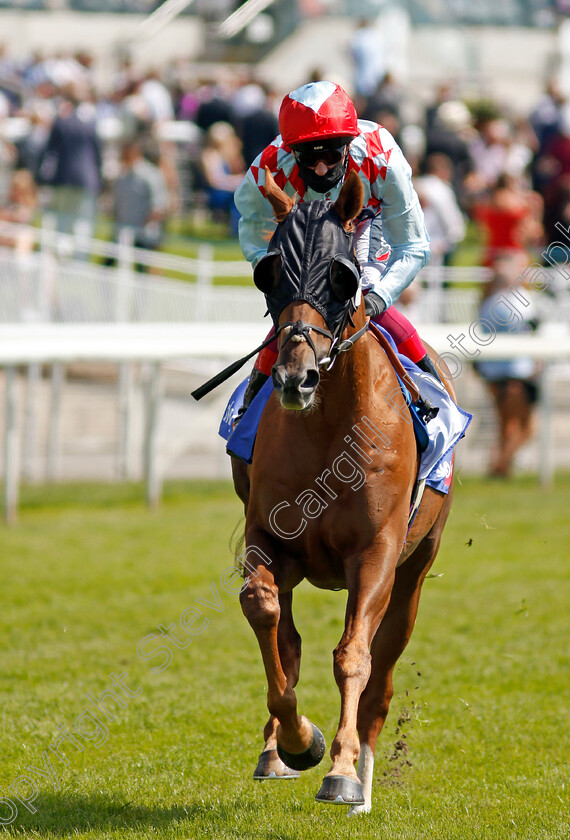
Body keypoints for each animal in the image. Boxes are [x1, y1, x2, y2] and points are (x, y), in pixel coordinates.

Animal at [231, 167, 452, 812]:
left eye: (343, 276)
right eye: (269, 272)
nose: (295, 377)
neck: (329, 428)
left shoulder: (376, 551)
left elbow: (354, 654)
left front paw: (344, 770)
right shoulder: (267, 535)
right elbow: (265, 613)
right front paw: (297, 740)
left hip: (417, 565)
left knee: (383, 667)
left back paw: (366, 784)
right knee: (289, 636)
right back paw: (276, 749)